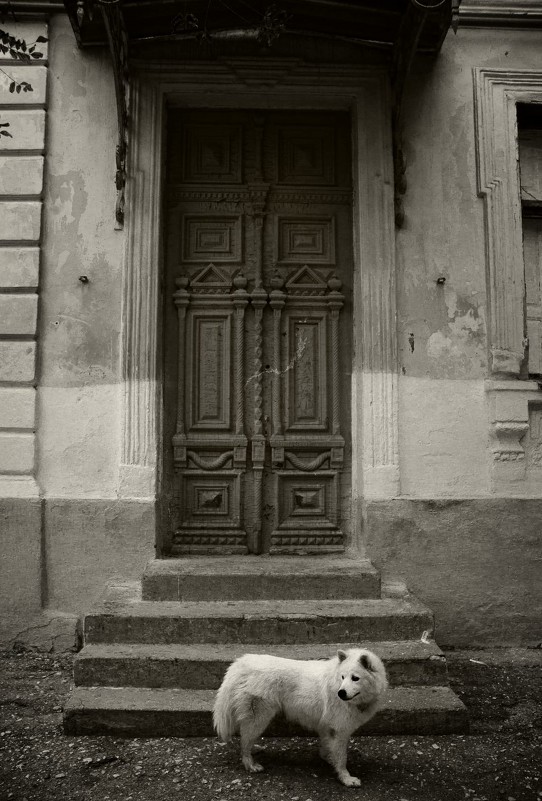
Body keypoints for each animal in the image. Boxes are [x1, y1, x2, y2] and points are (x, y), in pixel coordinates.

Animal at [212, 648, 386, 784]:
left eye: (355, 678)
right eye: (343, 677)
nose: (341, 693)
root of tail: (242, 662)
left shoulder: (327, 727)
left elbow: (327, 747)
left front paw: (328, 759)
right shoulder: (339, 730)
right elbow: (342, 757)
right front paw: (346, 778)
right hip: (259, 719)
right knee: (244, 743)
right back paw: (251, 765)